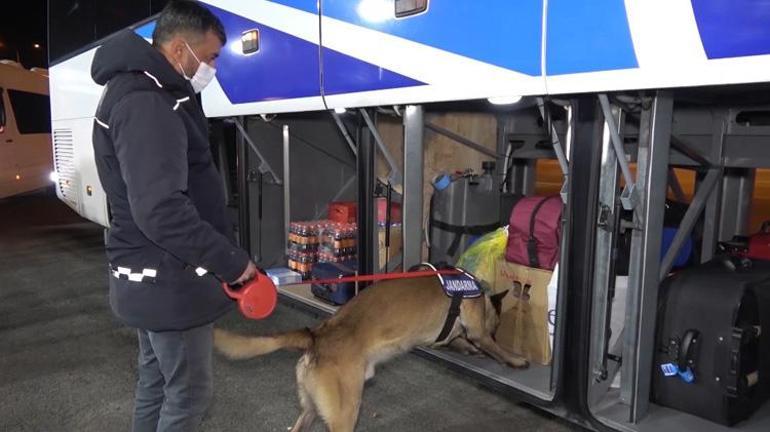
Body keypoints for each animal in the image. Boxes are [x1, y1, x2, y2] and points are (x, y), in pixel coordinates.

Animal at [216, 272, 528, 430]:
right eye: (498, 325)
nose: (497, 329)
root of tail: (317, 335)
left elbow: (458, 340)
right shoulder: (478, 328)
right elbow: (491, 345)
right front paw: (514, 358)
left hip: (311, 410)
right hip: (345, 413)